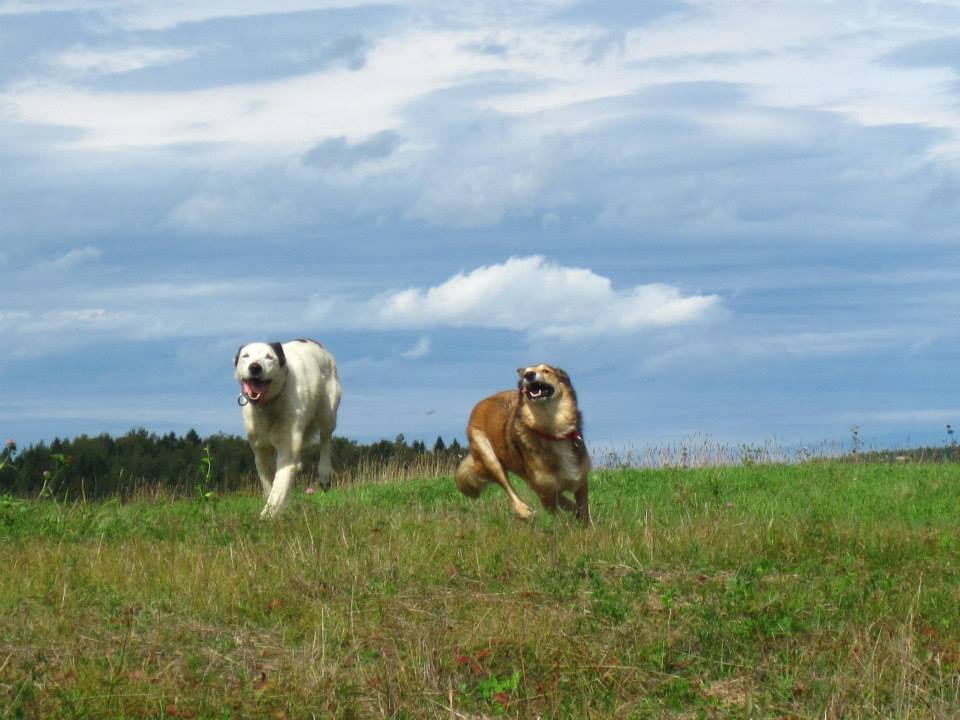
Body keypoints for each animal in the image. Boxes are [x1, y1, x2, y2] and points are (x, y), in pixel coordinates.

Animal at [233, 338, 342, 516]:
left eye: (269, 357)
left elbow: (278, 488)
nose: (255, 366)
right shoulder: (260, 451)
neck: (267, 406)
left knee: (326, 439)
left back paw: (324, 473)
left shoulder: (287, 448)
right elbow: (268, 483)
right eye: (246, 356)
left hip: (328, 411)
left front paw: (266, 516)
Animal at [454, 366, 588, 524]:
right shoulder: (545, 493)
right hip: (488, 456)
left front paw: (585, 525)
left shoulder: (580, 481)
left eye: (546, 371)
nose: (529, 375)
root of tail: (480, 404)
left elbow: (584, 512)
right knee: (509, 488)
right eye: (525, 373)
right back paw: (524, 511)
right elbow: (559, 518)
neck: (553, 430)